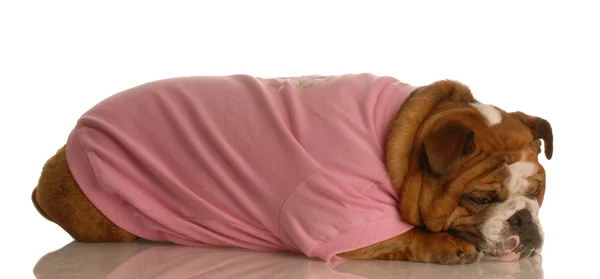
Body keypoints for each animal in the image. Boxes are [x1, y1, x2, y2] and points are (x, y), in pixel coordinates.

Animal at [30, 74, 552, 264]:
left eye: (538, 193)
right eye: (479, 199)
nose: (523, 221)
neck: (401, 138)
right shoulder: (337, 224)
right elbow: (406, 234)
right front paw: (443, 245)